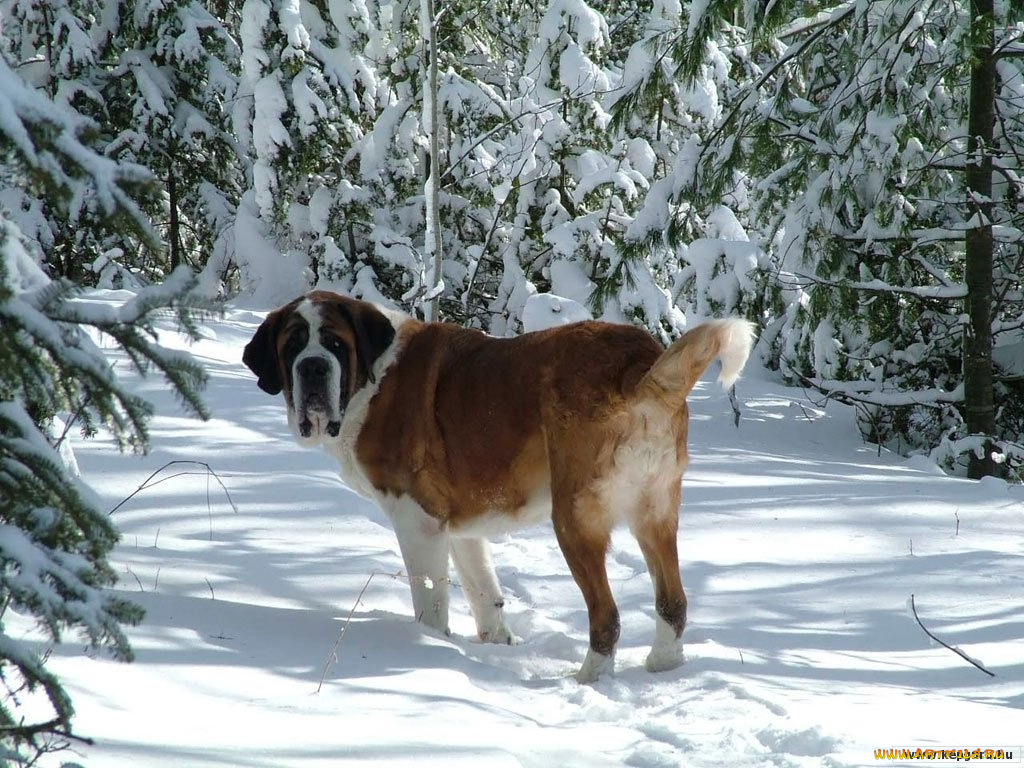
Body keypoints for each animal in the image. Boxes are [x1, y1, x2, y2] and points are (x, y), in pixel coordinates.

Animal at [239, 290, 753, 684]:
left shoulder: (417, 520)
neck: (371, 379)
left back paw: (589, 679)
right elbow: (483, 590)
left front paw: (429, 647)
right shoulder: (459, 527)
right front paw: (495, 644)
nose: (312, 368)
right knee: (672, 602)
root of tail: (638, 363)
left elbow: (431, 599)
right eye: (293, 345)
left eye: (332, 342)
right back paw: (663, 665)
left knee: (606, 614)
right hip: (656, 512)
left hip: (574, 519)